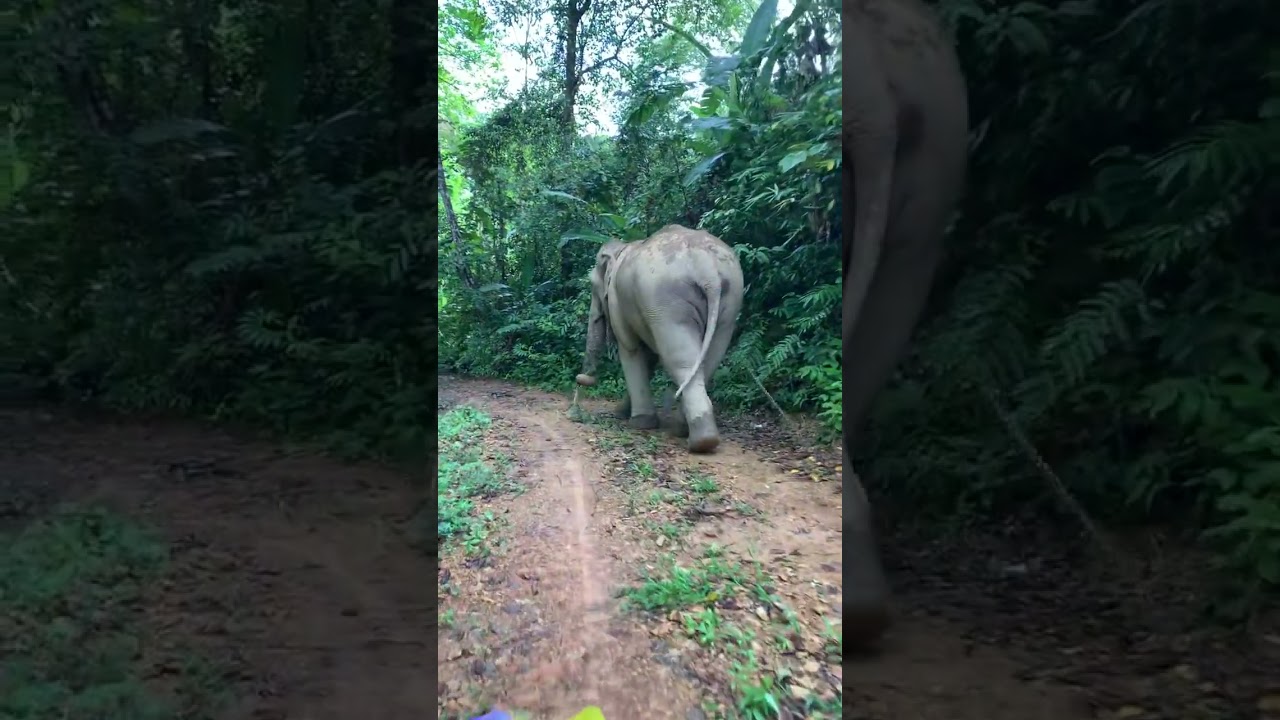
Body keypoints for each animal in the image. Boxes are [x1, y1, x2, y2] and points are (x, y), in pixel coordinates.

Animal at [574, 225, 745, 454]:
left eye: (593, 286)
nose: (583, 379)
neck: (622, 247)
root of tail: (708, 270)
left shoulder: (619, 303)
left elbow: (631, 349)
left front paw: (640, 422)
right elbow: (649, 358)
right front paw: (623, 412)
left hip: (668, 302)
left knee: (681, 360)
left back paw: (700, 440)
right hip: (729, 303)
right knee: (708, 359)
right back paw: (685, 429)